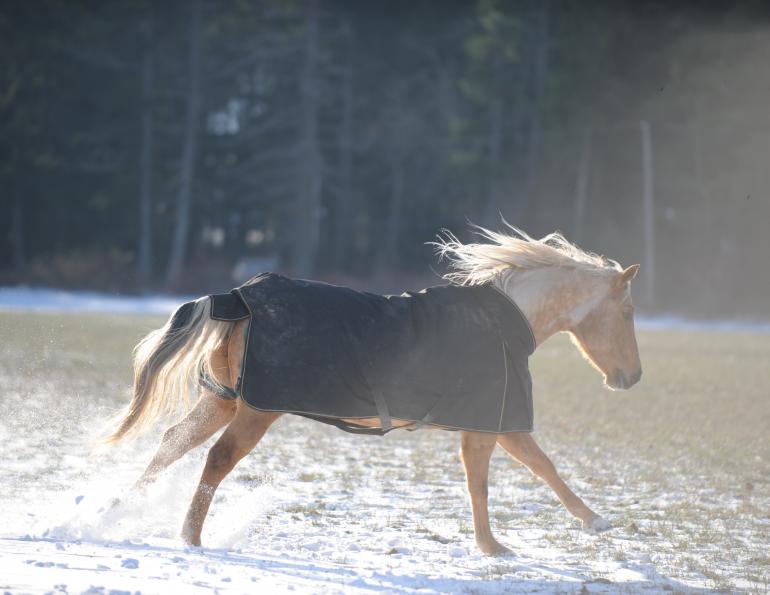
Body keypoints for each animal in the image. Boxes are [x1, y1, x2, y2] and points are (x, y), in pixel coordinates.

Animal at [103, 225, 642, 556]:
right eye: (628, 312)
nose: (632, 377)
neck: (504, 322)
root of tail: (240, 296)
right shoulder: (496, 422)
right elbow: (525, 471)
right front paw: (575, 527)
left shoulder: (485, 425)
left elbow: (504, 475)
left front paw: (499, 543)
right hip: (257, 409)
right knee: (217, 458)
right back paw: (190, 537)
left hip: (224, 399)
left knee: (173, 443)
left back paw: (117, 509)